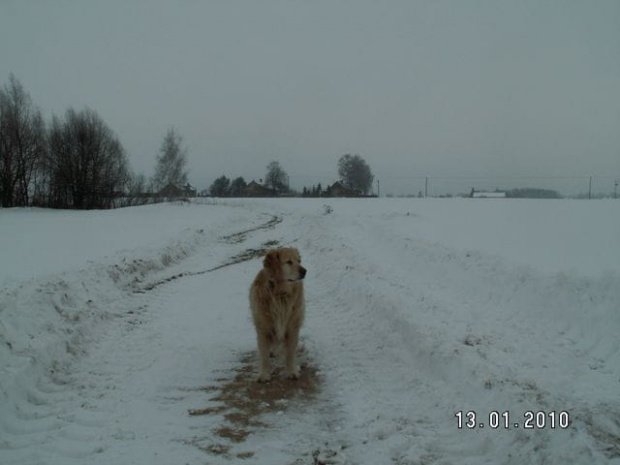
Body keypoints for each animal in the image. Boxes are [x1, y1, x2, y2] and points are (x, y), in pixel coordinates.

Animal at [249, 246, 308, 380]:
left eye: (299, 261)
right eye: (289, 262)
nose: (304, 271)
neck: (281, 294)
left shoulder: (292, 326)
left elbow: (290, 353)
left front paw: (291, 372)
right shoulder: (263, 327)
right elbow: (264, 353)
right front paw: (264, 374)